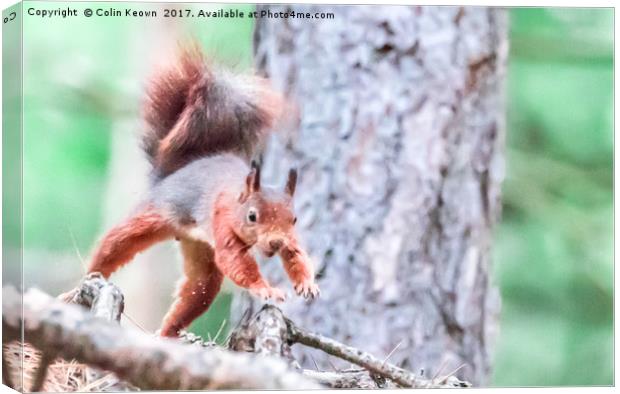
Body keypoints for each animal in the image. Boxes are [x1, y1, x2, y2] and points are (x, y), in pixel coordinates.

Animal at [86, 45, 320, 336]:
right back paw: (85, 281)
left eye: (294, 219)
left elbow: (297, 255)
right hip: (154, 215)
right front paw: (265, 289)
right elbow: (235, 261)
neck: (237, 198)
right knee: (116, 243)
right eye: (252, 216)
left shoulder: (289, 239)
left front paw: (308, 283)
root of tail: (177, 170)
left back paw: (166, 335)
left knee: (196, 292)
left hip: (200, 256)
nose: (275, 242)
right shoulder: (222, 221)